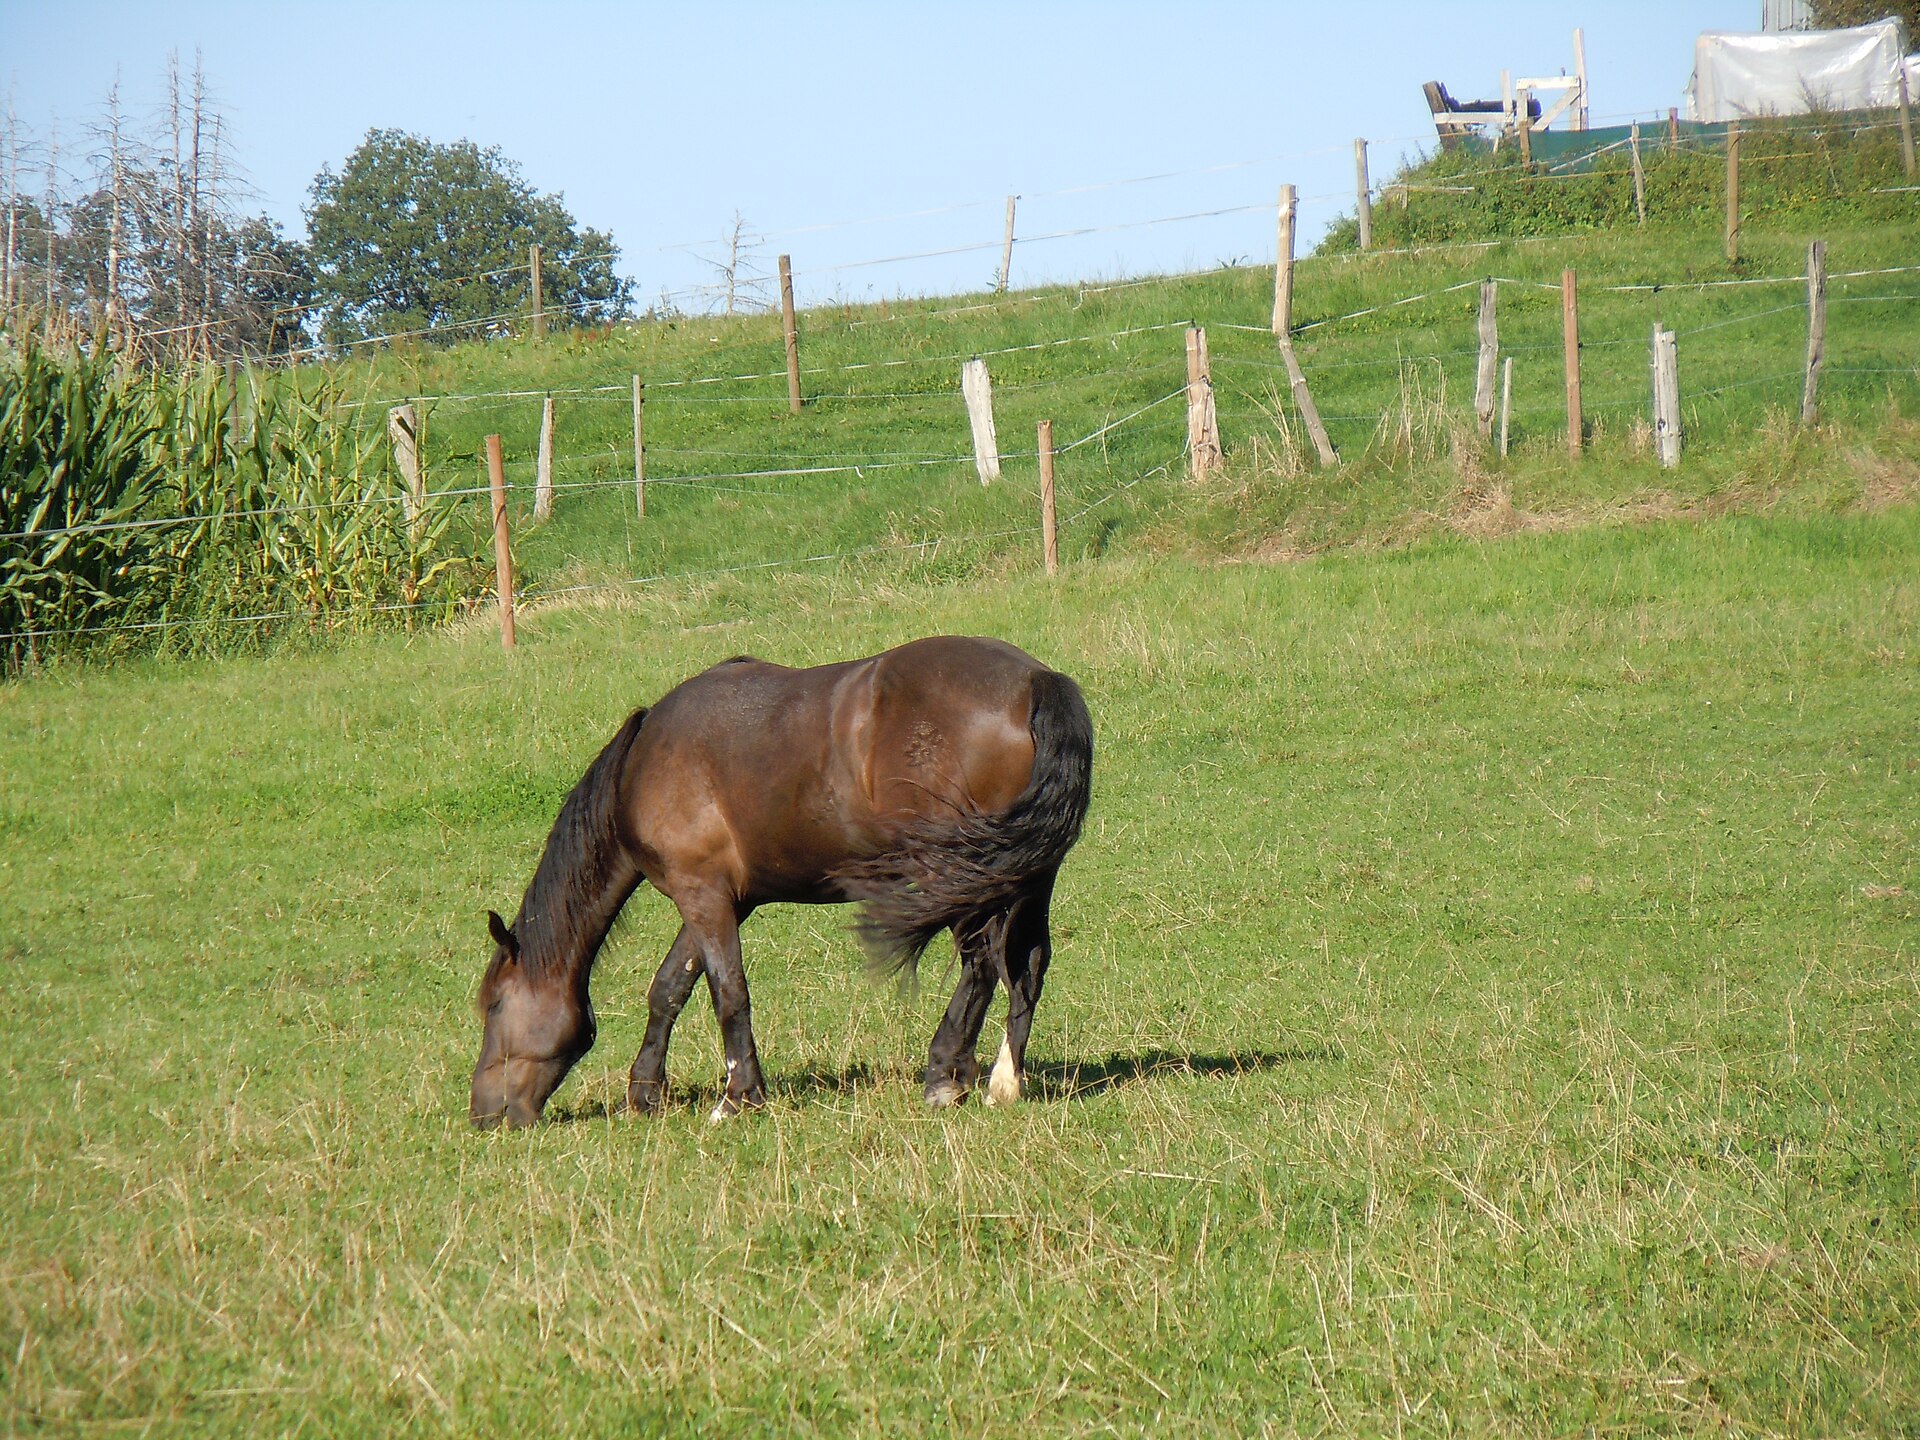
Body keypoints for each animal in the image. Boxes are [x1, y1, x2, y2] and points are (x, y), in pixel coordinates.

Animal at [469, 635, 1094, 1128]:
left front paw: (738, 1098)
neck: (643, 764)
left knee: (981, 965)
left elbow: (728, 993)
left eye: (495, 1005)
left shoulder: (702, 895)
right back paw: (1003, 1082)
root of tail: (1036, 681)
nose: (483, 1114)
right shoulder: (722, 897)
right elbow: (670, 988)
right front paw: (646, 1094)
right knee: (1027, 966)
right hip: (1026, 876)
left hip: (967, 876)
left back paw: (945, 1075)